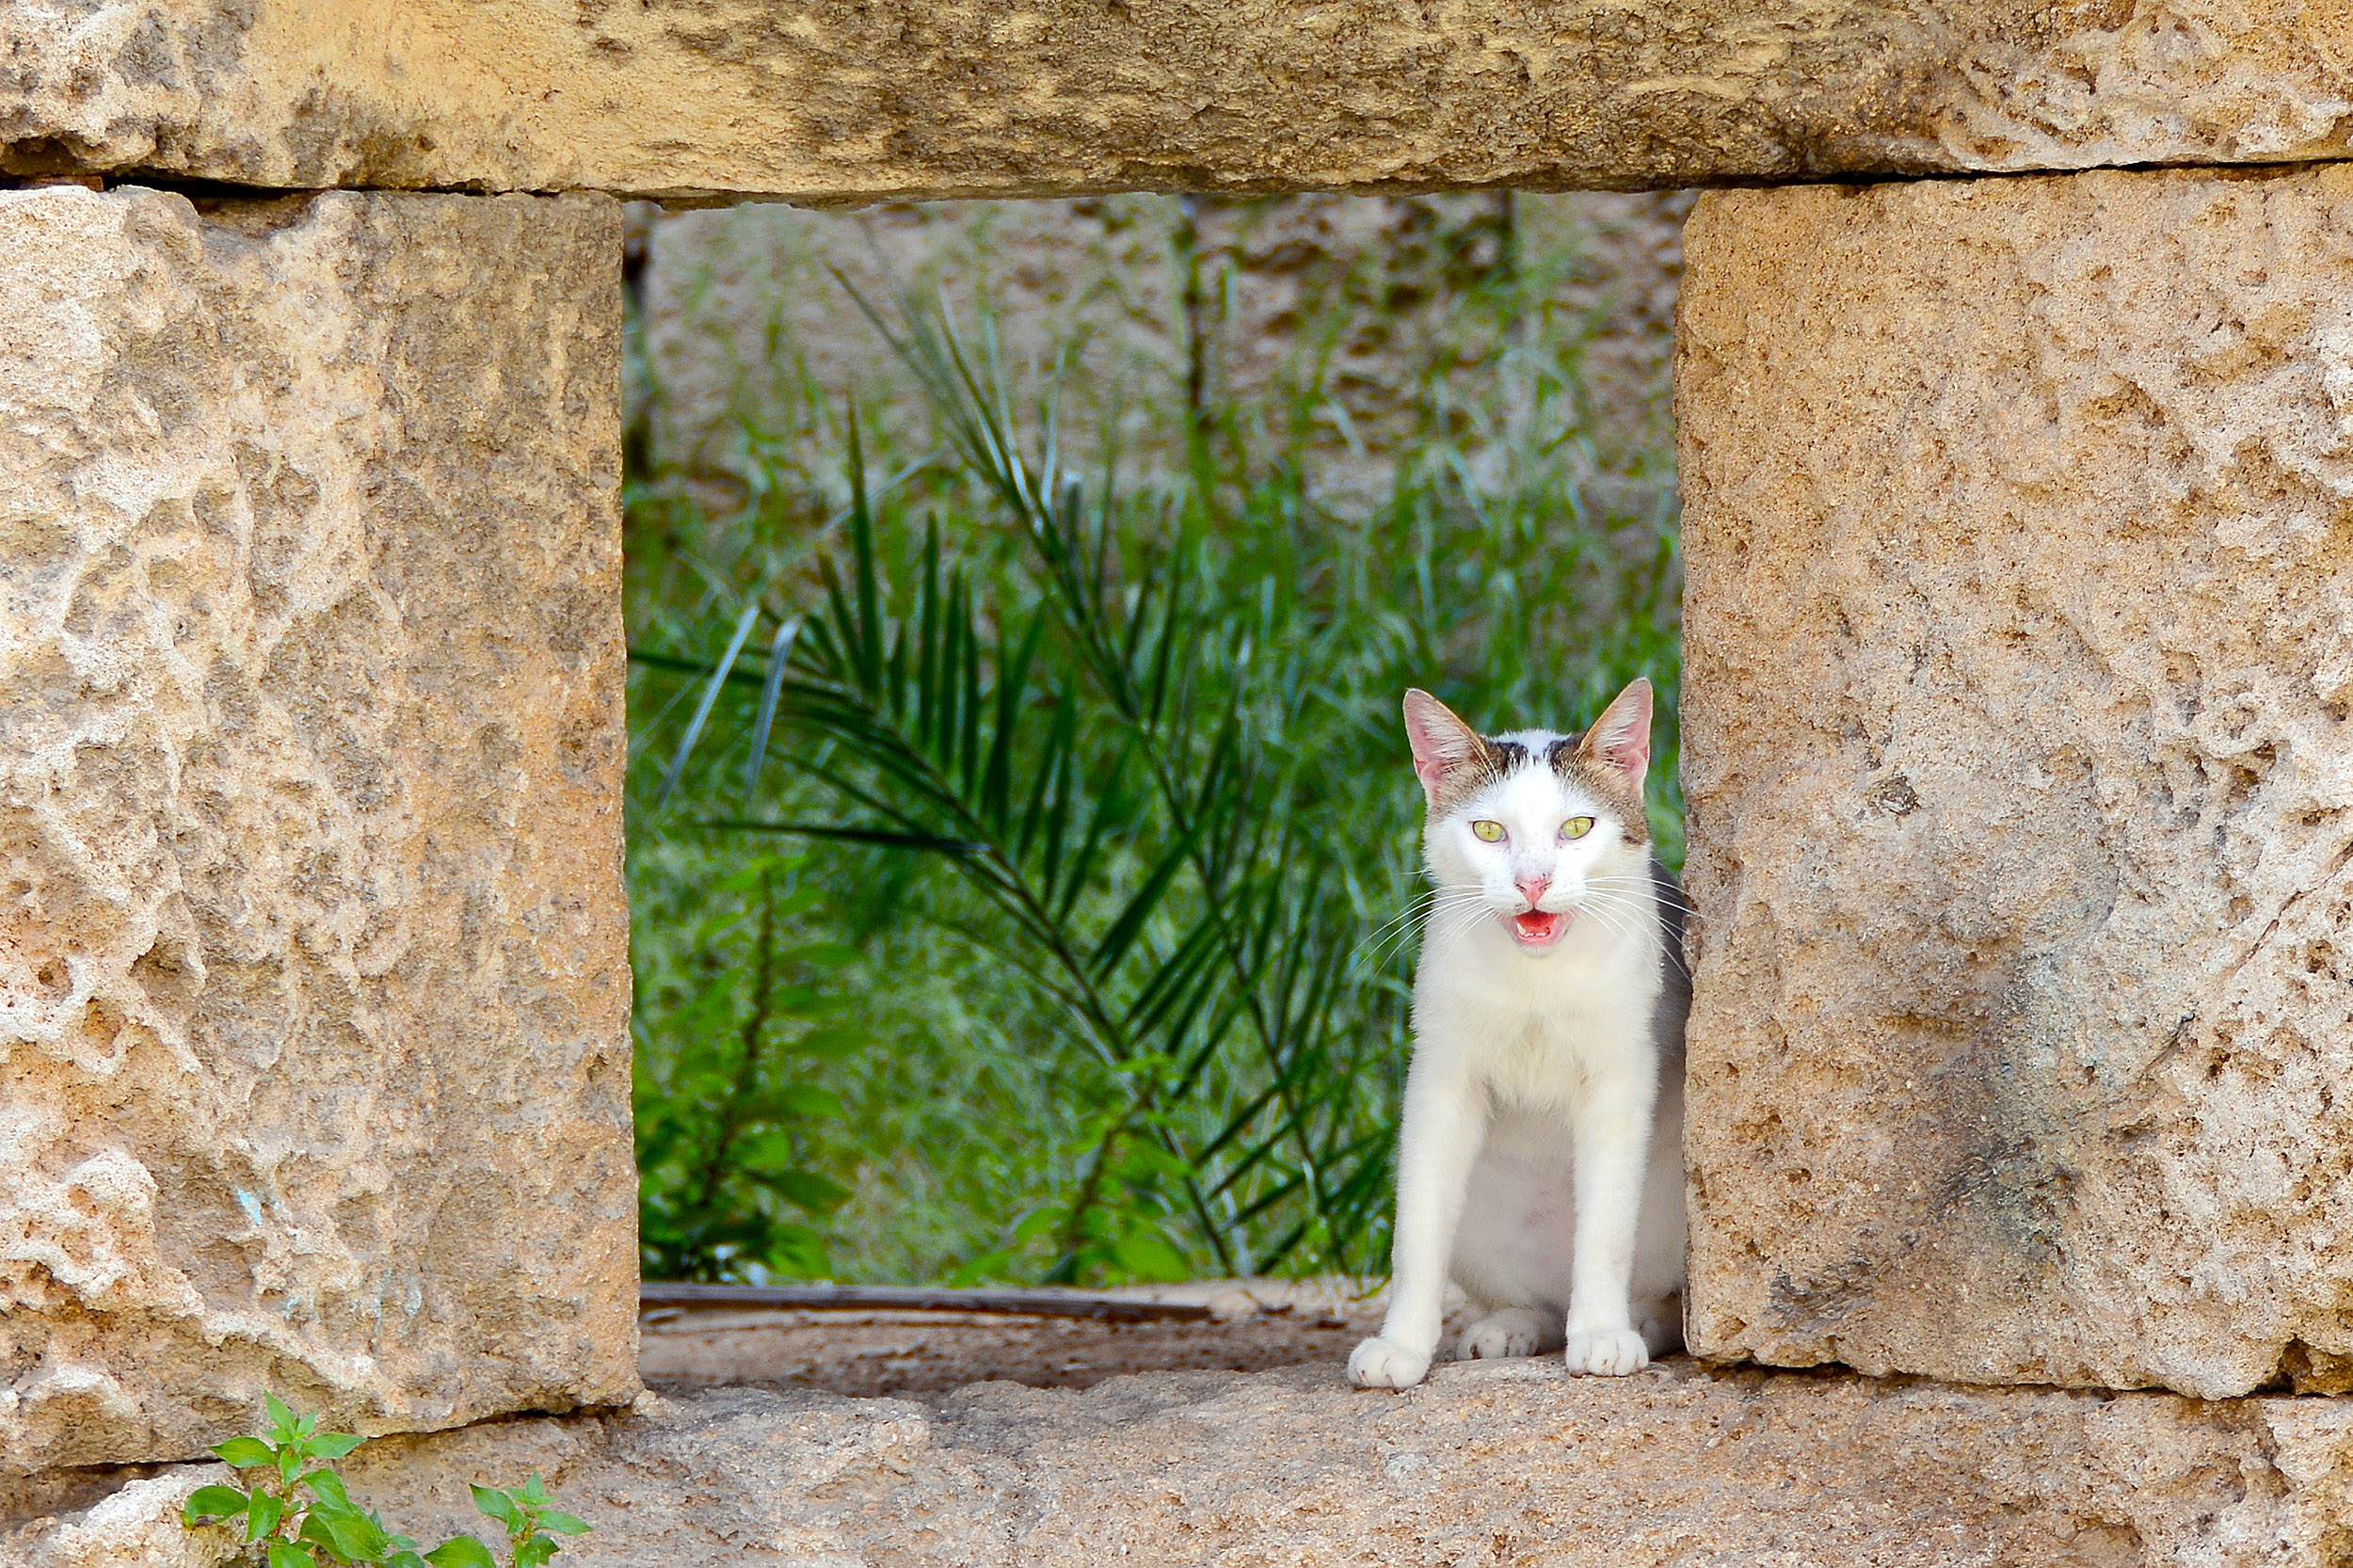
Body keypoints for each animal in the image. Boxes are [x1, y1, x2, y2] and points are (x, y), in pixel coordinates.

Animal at [1346, 678, 1694, 1384]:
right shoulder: (1440, 1076)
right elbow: (1416, 1231)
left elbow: (1606, 1227)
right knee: (1537, 1304)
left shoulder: (1621, 1076)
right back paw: (1509, 1326)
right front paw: (1403, 1344)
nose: (1533, 881)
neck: (1538, 978)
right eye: (1489, 831)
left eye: (1577, 828)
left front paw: (1603, 1332)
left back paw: (1643, 1318)